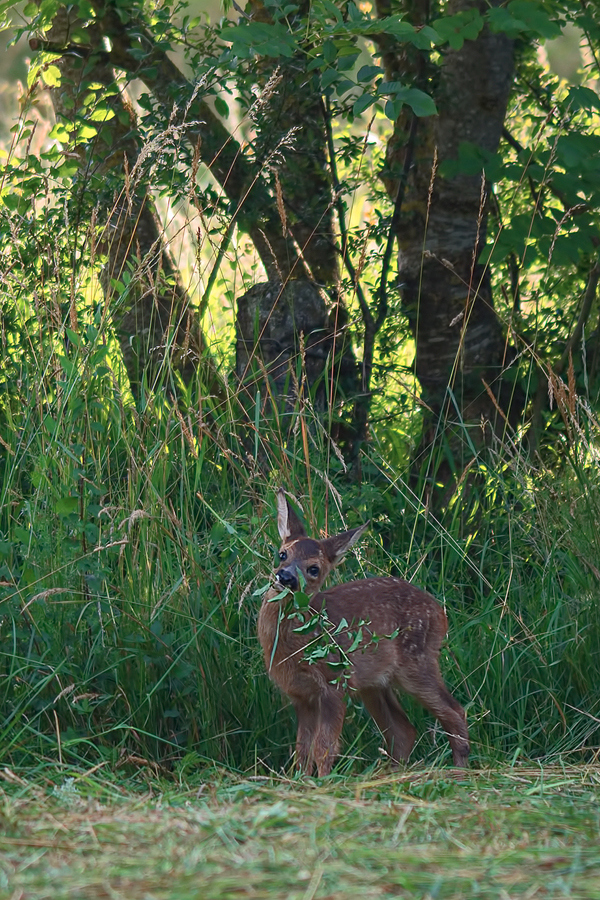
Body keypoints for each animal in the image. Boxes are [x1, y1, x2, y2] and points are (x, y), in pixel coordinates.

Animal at [258, 488, 468, 776]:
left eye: (314, 568)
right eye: (282, 554)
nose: (286, 577)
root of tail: (441, 613)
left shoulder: (334, 682)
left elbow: (324, 747)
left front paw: (322, 781)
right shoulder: (301, 695)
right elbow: (302, 749)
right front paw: (299, 780)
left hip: (417, 662)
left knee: (455, 711)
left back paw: (460, 772)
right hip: (374, 683)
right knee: (404, 730)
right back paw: (392, 773)